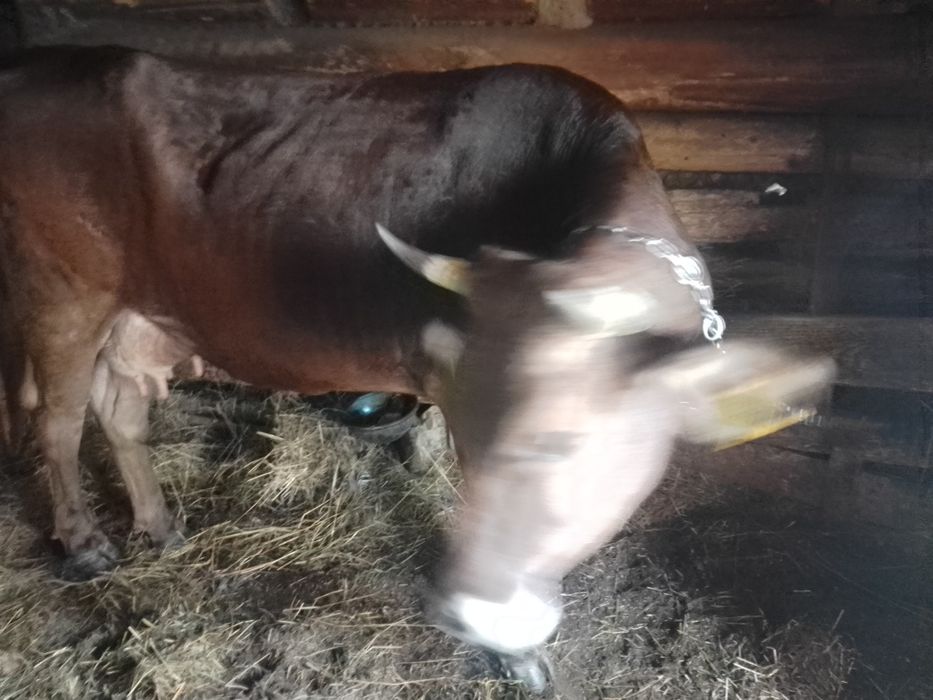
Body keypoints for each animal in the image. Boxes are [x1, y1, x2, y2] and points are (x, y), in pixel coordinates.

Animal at [0, 45, 832, 689]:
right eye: (483, 435)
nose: (469, 612)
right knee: (57, 419)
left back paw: (159, 525)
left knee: (120, 414)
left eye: (557, 444)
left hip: (138, 318)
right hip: (63, 295)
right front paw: (516, 657)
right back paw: (84, 543)